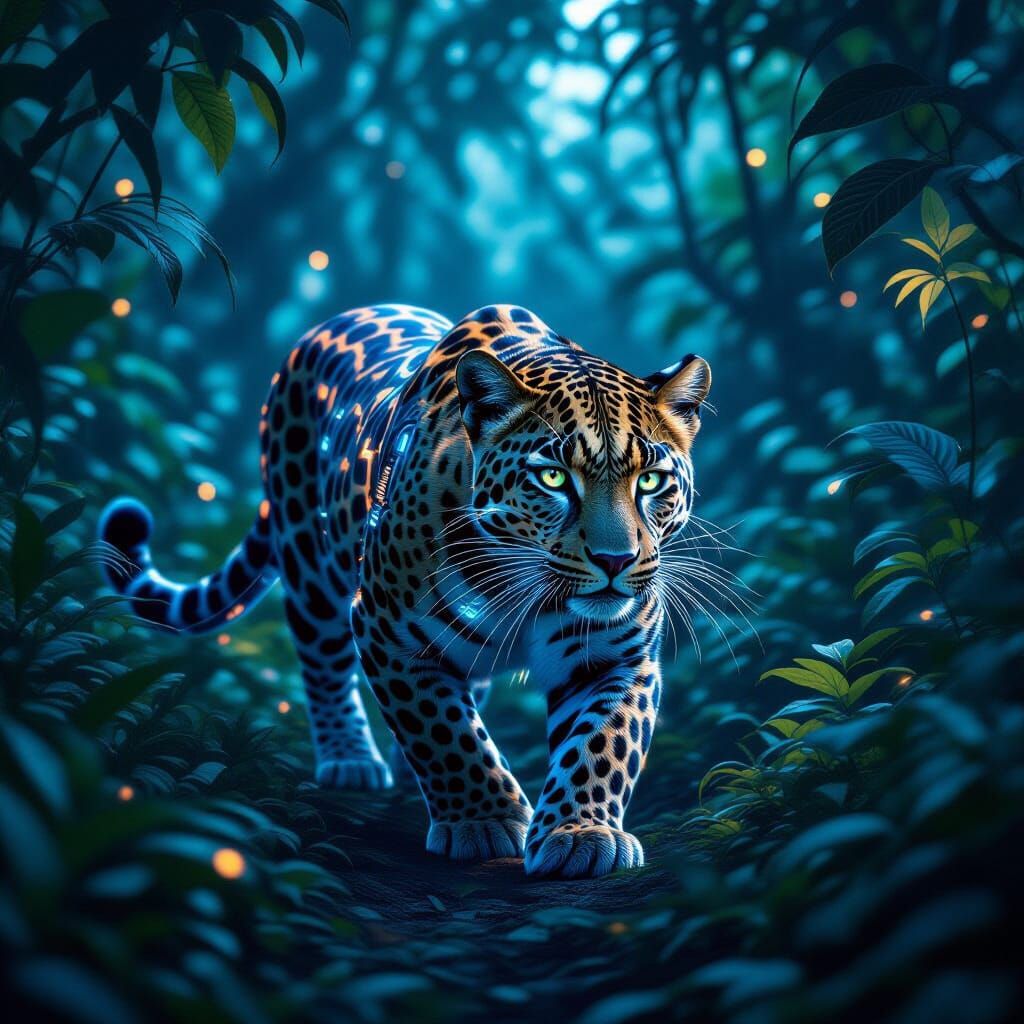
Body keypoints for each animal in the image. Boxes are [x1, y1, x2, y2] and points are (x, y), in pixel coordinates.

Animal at [99, 303, 711, 879]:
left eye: (650, 480)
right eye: (554, 478)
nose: (615, 560)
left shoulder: (616, 659)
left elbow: (599, 746)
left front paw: (580, 833)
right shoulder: (386, 633)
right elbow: (444, 733)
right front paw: (484, 821)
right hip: (311, 568)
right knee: (323, 664)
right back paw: (351, 760)